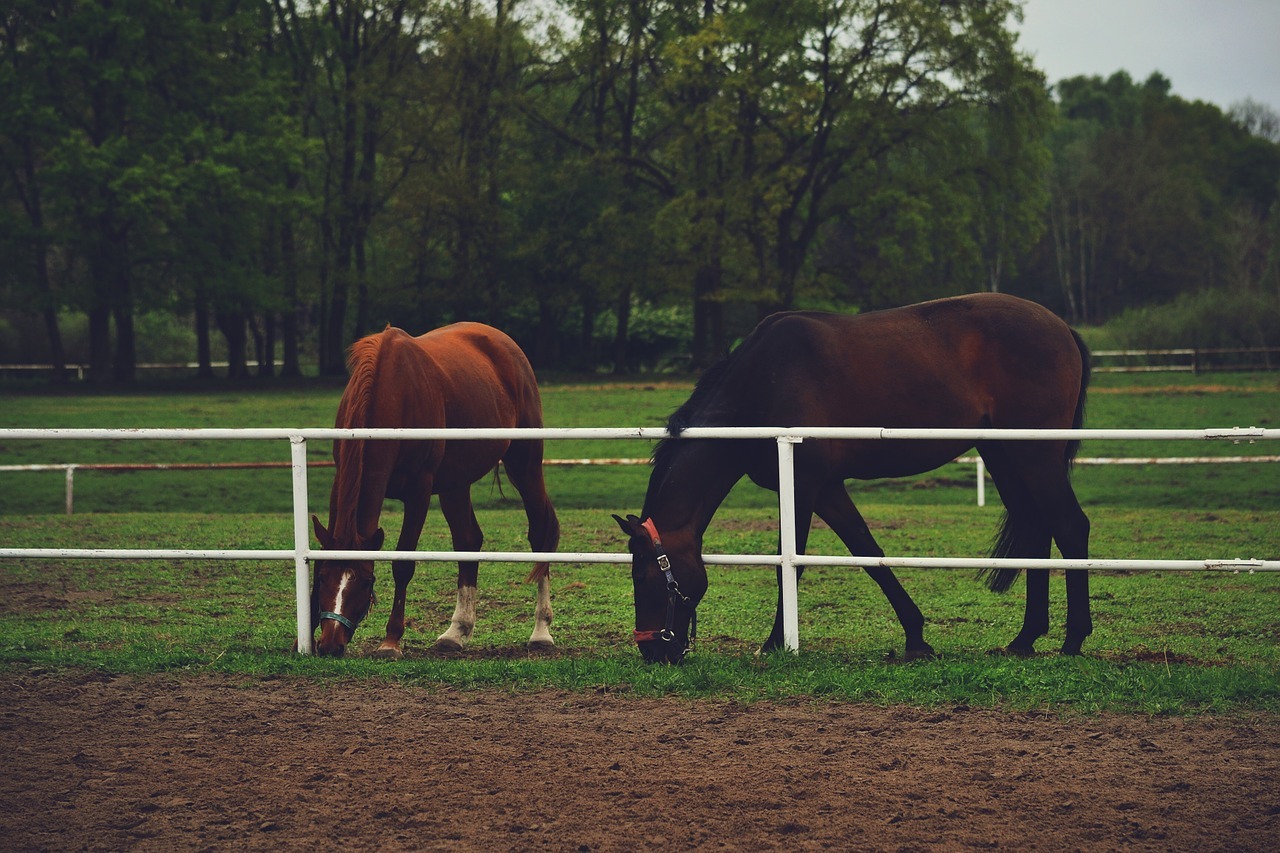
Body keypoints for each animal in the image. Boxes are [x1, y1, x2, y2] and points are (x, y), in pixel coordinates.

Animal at [311, 322, 560, 653]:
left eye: (365, 582)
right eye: (323, 578)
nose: (330, 644)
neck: (392, 392)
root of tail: (507, 346)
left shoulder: (419, 491)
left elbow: (403, 564)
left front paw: (391, 640)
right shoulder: (341, 481)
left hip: (525, 463)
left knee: (540, 533)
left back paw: (541, 631)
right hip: (456, 482)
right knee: (468, 540)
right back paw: (457, 631)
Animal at [611, 292, 1090, 666]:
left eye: (644, 578)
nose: (653, 651)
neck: (760, 384)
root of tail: (1062, 327)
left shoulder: (802, 488)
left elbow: (791, 565)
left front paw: (774, 644)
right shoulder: (827, 490)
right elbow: (868, 553)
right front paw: (916, 637)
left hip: (1034, 455)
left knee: (1070, 525)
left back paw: (1073, 640)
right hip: (1005, 454)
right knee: (1038, 528)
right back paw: (1025, 639)